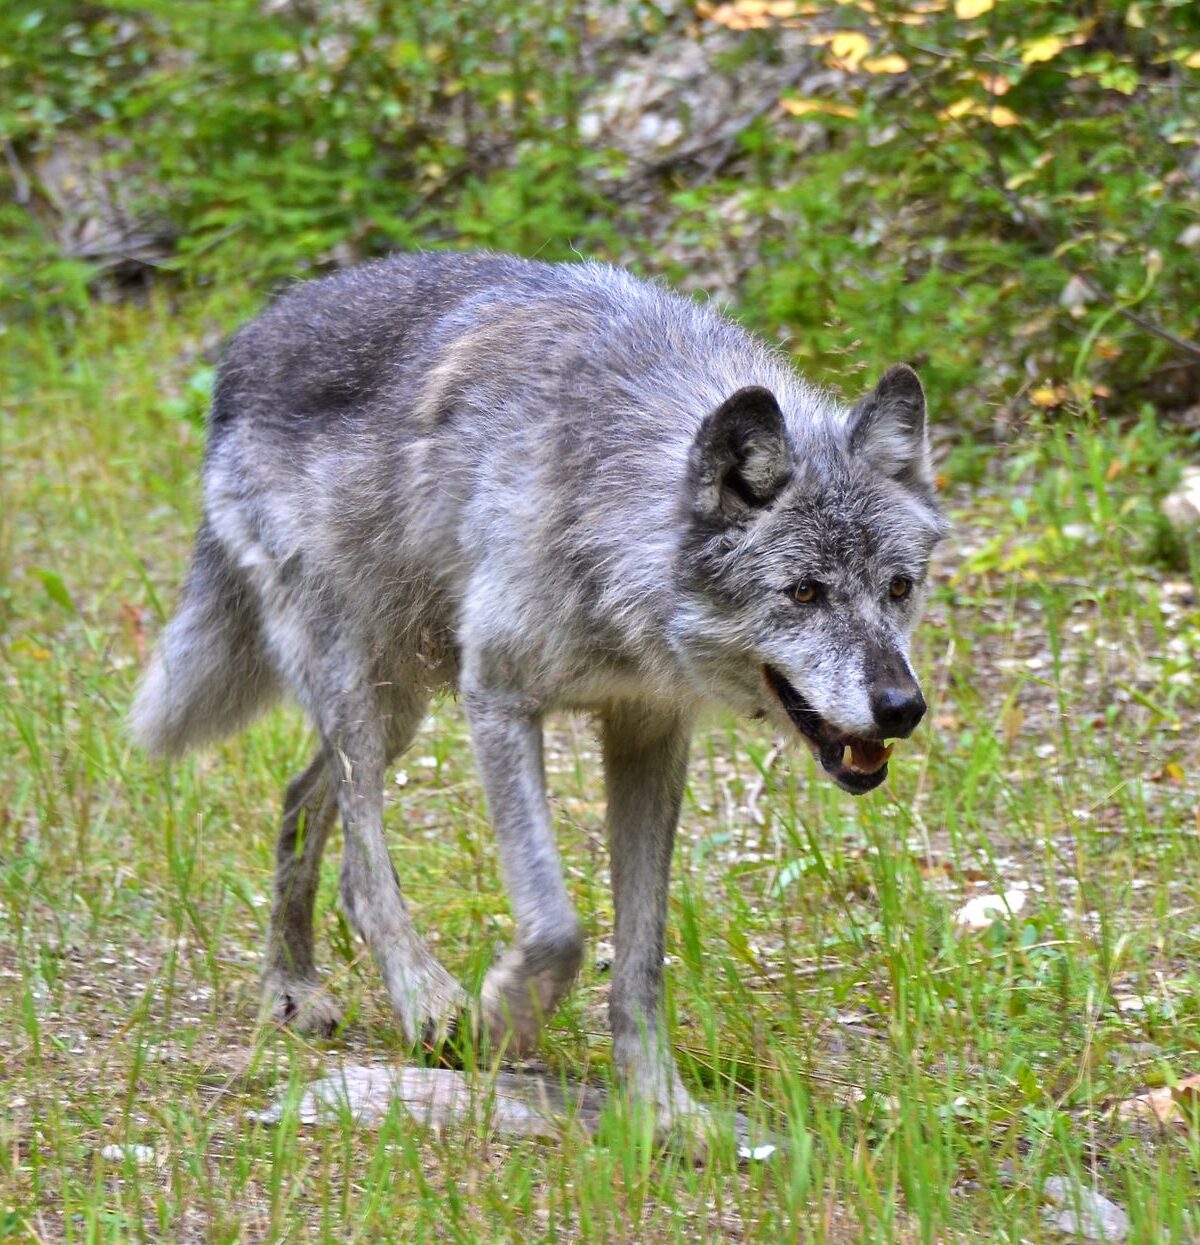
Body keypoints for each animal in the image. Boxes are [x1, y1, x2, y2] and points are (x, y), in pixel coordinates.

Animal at [131, 250, 947, 1130]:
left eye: (899, 587)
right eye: (803, 591)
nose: (902, 709)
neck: (613, 517)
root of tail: (251, 338)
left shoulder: (651, 734)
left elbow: (641, 957)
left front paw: (663, 1108)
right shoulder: (497, 698)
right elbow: (558, 928)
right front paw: (496, 1020)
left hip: (397, 707)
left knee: (300, 798)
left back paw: (293, 983)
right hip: (359, 682)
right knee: (360, 859)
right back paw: (415, 998)